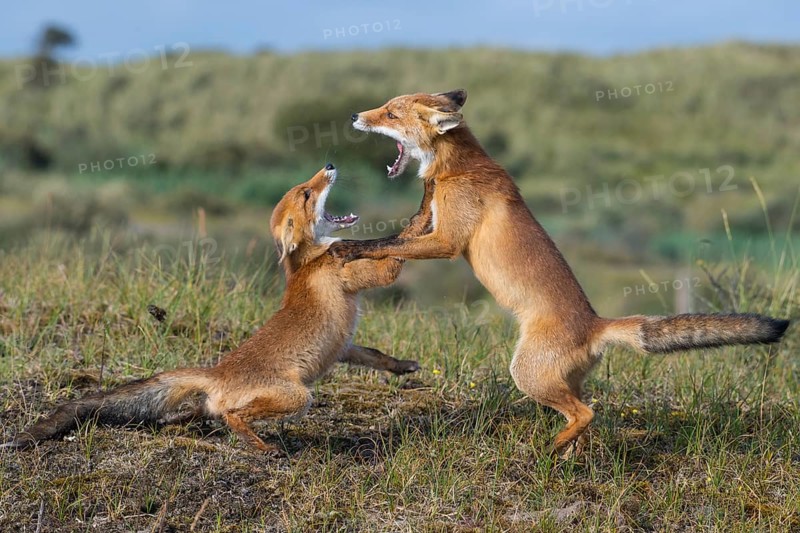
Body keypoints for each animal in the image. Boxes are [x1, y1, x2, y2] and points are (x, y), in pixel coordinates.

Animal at [3, 164, 422, 452]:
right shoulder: (355, 274)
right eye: (306, 193)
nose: (330, 165)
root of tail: (217, 372)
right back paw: (261, 447)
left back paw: (177, 425)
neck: (309, 261)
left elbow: (376, 355)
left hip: (222, 404)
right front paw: (419, 221)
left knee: (196, 414)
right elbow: (393, 259)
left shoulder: (344, 347)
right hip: (297, 396)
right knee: (233, 416)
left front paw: (403, 367)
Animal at [335, 89, 791, 456]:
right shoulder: (431, 226)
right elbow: (394, 238)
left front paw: (348, 248)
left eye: (391, 113)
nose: (354, 115)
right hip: (560, 381)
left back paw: (551, 450)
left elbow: (385, 244)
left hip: (526, 374)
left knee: (586, 413)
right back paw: (571, 454)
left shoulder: (447, 241)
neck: (457, 168)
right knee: (583, 417)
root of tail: (596, 323)